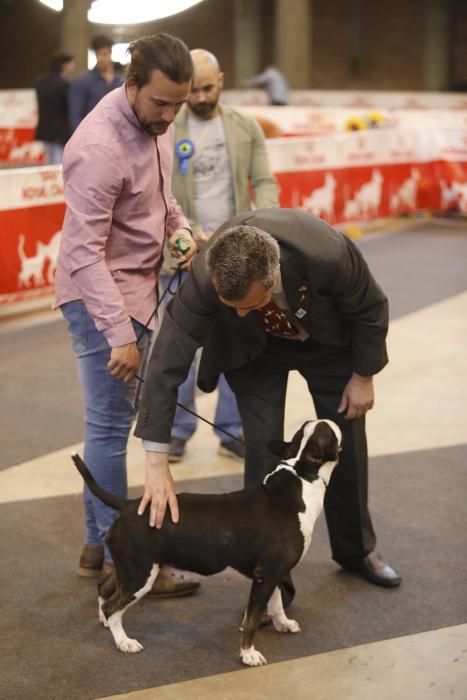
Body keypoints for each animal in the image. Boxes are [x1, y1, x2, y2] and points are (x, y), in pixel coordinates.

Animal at [74, 418, 344, 664]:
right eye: (327, 432)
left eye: (312, 427)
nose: (328, 419)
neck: (301, 477)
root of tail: (128, 505)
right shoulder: (265, 575)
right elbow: (252, 619)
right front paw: (248, 654)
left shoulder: (274, 573)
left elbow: (276, 604)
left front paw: (283, 624)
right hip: (140, 575)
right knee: (113, 606)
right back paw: (124, 642)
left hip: (132, 568)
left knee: (105, 586)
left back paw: (106, 623)